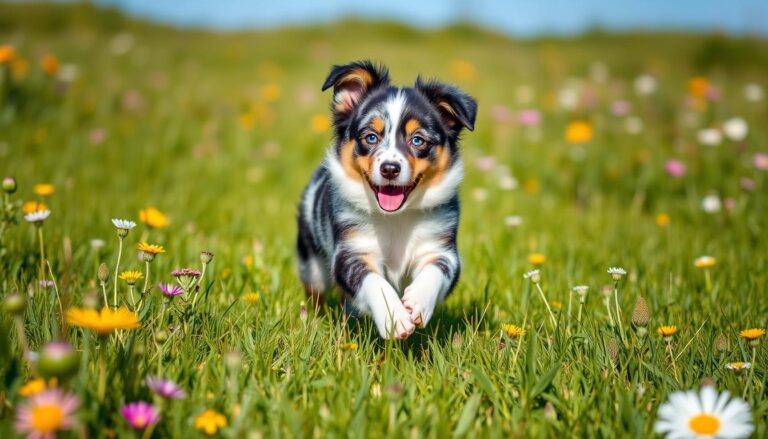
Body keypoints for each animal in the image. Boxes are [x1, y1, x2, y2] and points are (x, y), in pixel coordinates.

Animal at [296, 59, 476, 340]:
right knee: (315, 294)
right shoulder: (350, 251)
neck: (395, 219)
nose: (390, 168)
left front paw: (418, 301)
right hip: (311, 262)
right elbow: (374, 281)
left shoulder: (441, 249)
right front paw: (395, 318)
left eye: (418, 140)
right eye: (371, 137)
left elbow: (436, 270)